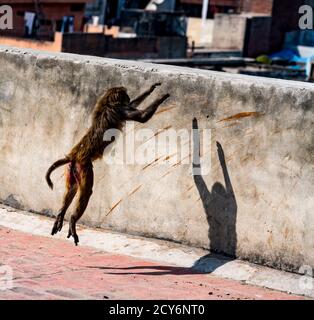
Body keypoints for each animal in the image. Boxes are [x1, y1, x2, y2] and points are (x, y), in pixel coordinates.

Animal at [44, 83, 169, 245]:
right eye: (125, 95)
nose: (127, 97)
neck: (108, 101)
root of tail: (75, 153)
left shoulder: (121, 107)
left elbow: (134, 105)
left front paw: (150, 89)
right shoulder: (121, 110)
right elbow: (141, 116)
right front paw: (162, 97)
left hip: (72, 168)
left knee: (72, 188)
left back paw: (61, 214)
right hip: (83, 166)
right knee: (85, 191)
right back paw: (72, 219)